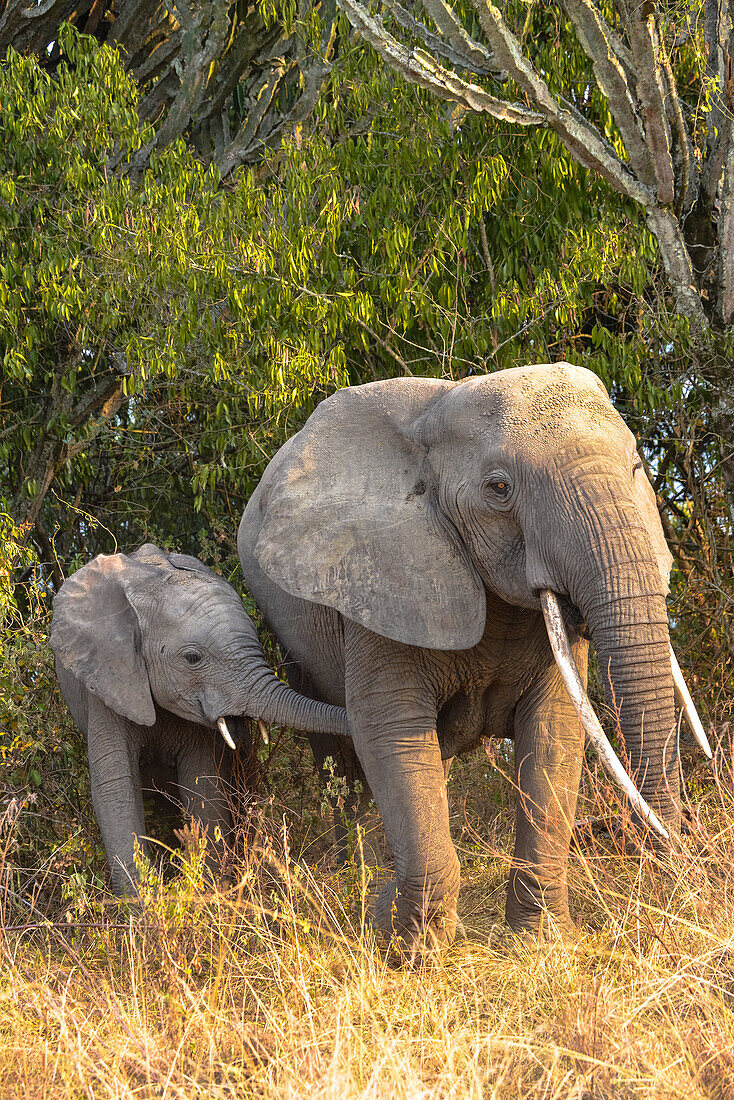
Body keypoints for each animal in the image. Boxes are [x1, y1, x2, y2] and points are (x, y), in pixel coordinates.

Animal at [51, 541, 349, 893]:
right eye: (193, 658)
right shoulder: (109, 677)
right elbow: (116, 786)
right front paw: (144, 904)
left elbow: (204, 784)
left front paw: (209, 894)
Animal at [240, 365, 713, 950]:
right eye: (499, 488)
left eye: (636, 469)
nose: (672, 852)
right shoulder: (379, 579)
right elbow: (392, 731)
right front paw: (405, 945)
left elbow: (555, 731)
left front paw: (541, 941)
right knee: (340, 758)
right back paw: (359, 878)